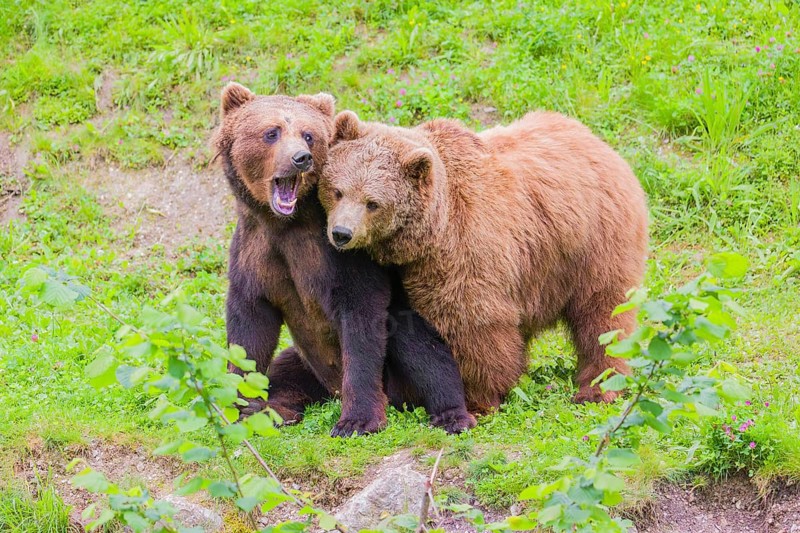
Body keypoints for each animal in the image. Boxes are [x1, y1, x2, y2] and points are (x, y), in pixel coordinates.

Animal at [212, 83, 475, 436]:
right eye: (272, 132)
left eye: (309, 135)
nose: (301, 158)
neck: (287, 224)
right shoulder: (255, 249)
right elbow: (250, 329)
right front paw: (241, 406)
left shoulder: (340, 256)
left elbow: (362, 320)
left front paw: (357, 420)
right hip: (304, 363)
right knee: (284, 373)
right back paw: (278, 410)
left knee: (422, 350)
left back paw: (452, 414)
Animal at [319, 110, 649, 413]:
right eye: (338, 191)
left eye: (372, 203)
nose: (342, 233)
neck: (427, 235)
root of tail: (598, 142)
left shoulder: (465, 249)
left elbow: (472, 324)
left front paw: (478, 397)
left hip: (594, 244)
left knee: (602, 315)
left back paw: (598, 387)